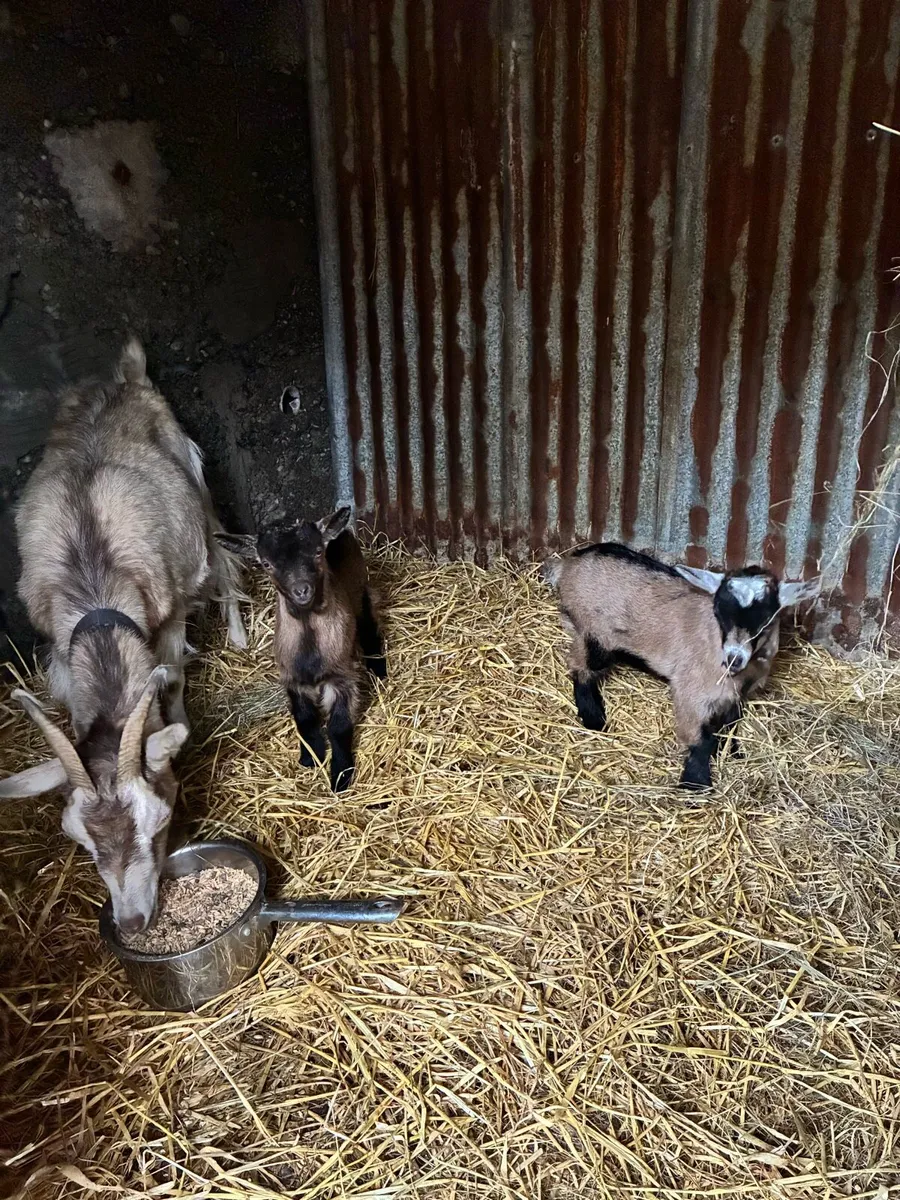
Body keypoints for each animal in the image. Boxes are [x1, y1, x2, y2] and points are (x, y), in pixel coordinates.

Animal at [0, 338, 247, 932]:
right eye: (80, 841)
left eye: (158, 821)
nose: (133, 921)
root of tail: (123, 375)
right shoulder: (60, 651)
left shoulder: (172, 610)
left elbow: (172, 680)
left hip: (196, 483)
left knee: (224, 555)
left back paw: (238, 632)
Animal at [216, 507, 386, 793]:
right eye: (266, 563)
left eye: (318, 551)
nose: (302, 591)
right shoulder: (292, 680)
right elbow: (304, 719)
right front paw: (310, 757)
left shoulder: (342, 678)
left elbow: (339, 726)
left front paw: (340, 775)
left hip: (361, 592)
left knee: (369, 627)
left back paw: (379, 670)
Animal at [542, 543, 820, 788]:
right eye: (719, 612)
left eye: (766, 619)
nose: (733, 658)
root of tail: (568, 564)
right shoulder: (690, 691)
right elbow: (700, 739)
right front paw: (695, 782)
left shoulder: (738, 695)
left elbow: (730, 725)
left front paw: (732, 752)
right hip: (593, 633)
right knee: (580, 665)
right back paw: (593, 717)